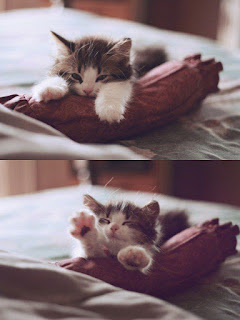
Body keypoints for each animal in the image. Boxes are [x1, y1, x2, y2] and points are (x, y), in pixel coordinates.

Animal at [31, 31, 167, 123]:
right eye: (75, 75)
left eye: (102, 77)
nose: (87, 90)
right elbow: (55, 77)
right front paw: (48, 90)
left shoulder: (124, 78)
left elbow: (113, 87)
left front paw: (109, 110)